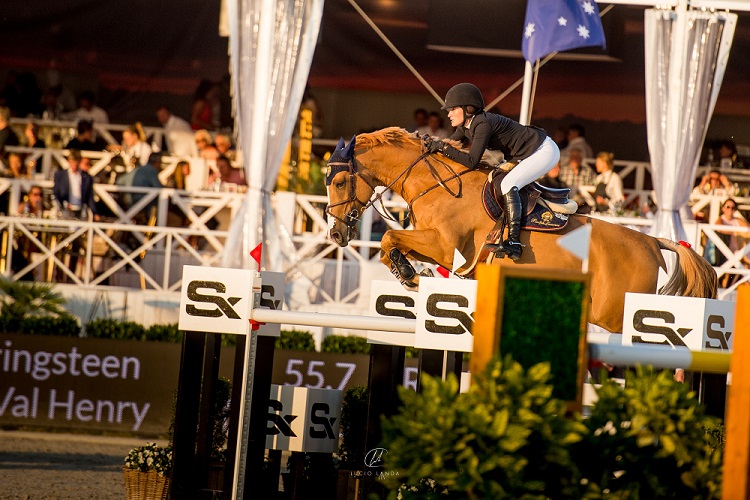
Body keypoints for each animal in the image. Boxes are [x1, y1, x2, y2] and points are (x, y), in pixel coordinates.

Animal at [326, 128, 720, 332]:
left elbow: (389, 237)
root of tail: (651, 241)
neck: (434, 184)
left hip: (617, 316)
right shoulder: (429, 243)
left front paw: (411, 276)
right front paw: (410, 273)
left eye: (342, 182)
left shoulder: (445, 246)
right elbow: (391, 245)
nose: (335, 236)